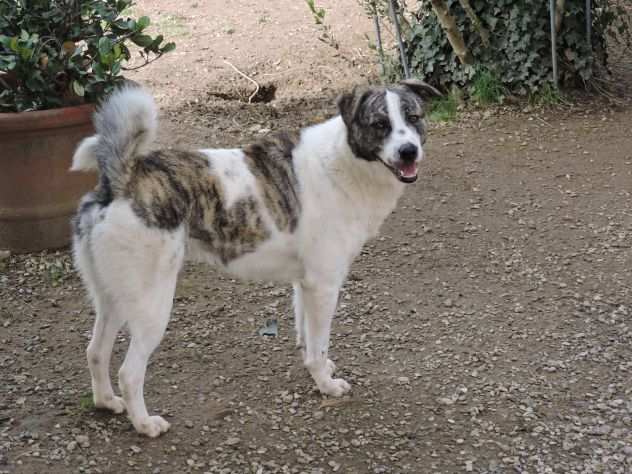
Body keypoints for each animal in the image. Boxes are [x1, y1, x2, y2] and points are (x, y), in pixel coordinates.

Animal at [70, 78, 440, 436]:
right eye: (380, 124)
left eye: (413, 118)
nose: (409, 151)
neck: (344, 162)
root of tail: (122, 178)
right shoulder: (324, 286)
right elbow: (318, 343)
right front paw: (326, 384)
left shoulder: (305, 285)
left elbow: (308, 339)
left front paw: (318, 368)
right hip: (152, 306)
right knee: (129, 372)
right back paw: (145, 424)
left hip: (113, 299)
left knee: (95, 352)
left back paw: (106, 402)